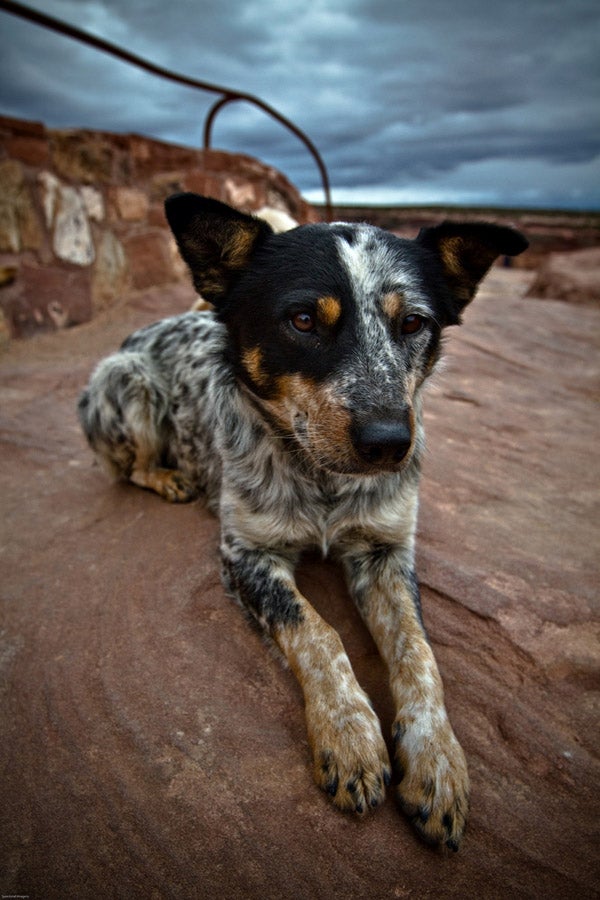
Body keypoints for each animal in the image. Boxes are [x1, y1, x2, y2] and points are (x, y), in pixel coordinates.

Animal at [77, 195, 528, 852]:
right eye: (304, 321)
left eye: (413, 324)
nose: (390, 442)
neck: (321, 482)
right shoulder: (246, 554)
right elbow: (317, 632)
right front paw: (351, 735)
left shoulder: (386, 550)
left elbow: (419, 653)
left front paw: (438, 762)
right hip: (126, 380)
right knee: (128, 464)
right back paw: (167, 478)